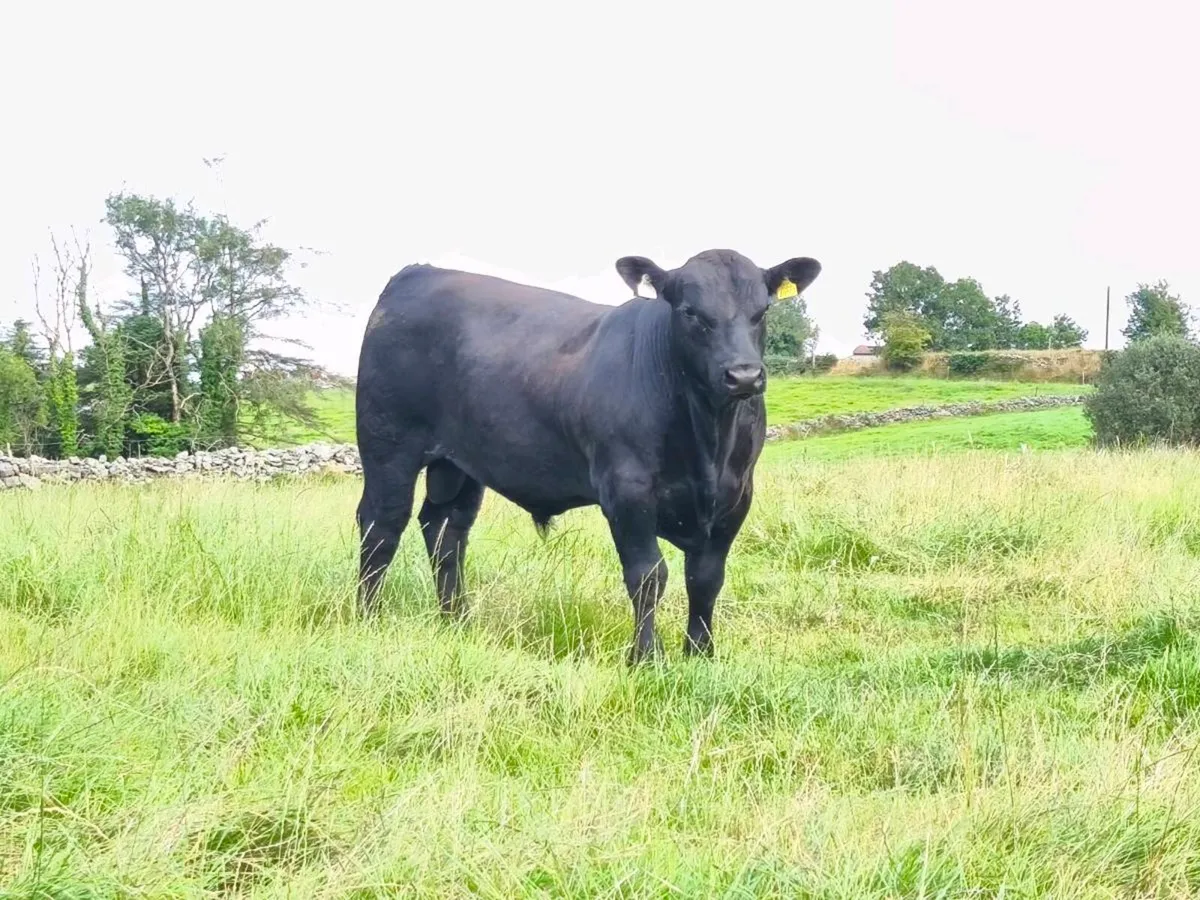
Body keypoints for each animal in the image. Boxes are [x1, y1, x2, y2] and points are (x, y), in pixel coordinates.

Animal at [354, 249, 822, 662]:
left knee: (446, 532)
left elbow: (705, 578)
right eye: (690, 311)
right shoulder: (627, 491)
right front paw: (646, 658)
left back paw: (456, 620)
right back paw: (369, 618)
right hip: (388, 446)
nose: (743, 375)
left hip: (459, 464)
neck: (708, 439)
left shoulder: (736, 497)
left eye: (762, 311)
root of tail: (416, 273)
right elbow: (648, 575)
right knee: (382, 524)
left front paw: (701, 654)